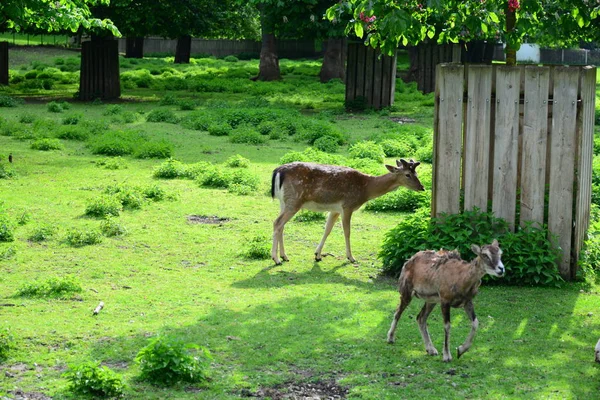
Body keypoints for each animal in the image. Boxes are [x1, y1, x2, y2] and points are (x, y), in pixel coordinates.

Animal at [270, 159, 424, 266]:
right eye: (407, 174)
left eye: (416, 173)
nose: (421, 187)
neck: (365, 189)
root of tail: (278, 171)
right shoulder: (348, 205)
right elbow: (347, 232)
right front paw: (351, 257)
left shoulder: (335, 209)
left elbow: (327, 229)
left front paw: (317, 255)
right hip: (294, 201)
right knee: (277, 222)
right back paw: (276, 259)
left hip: (284, 201)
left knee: (281, 225)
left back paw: (284, 256)